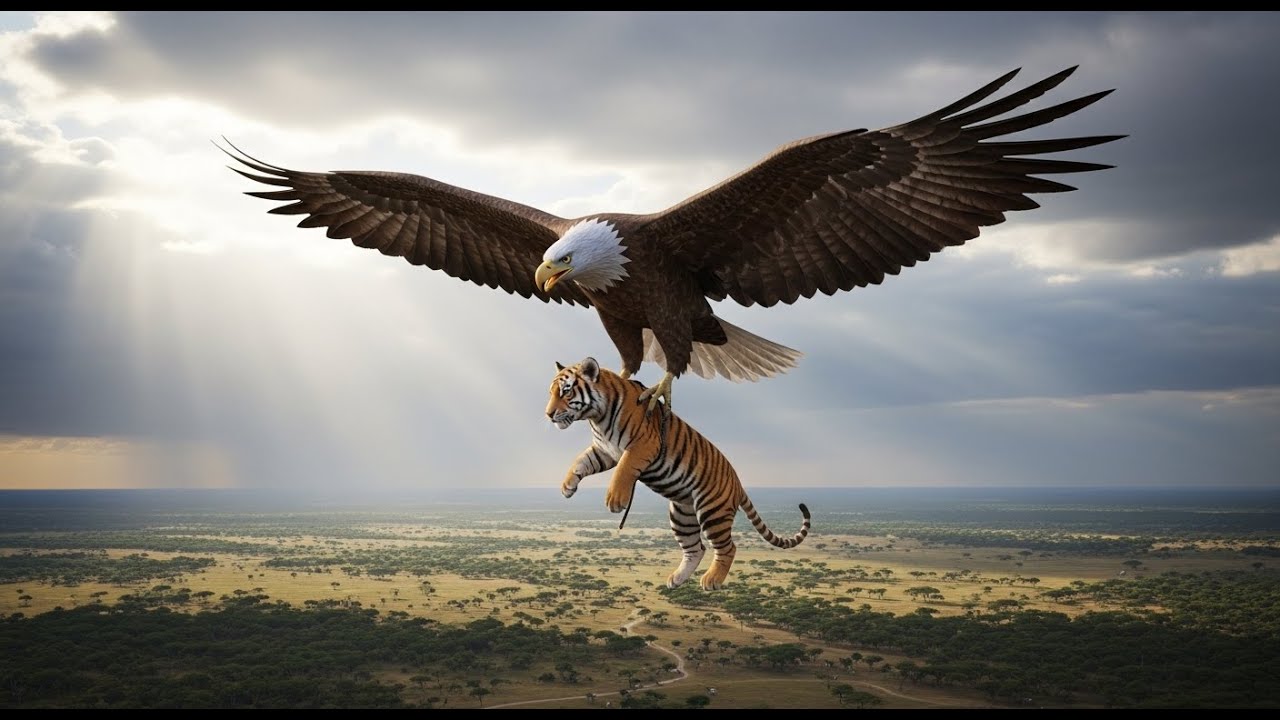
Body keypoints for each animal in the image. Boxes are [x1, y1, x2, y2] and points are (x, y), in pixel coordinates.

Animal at [546, 356, 811, 590]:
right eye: (551, 392)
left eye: (566, 391)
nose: (548, 415)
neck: (596, 418)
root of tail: (738, 482)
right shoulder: (605, 451)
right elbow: (581, 461)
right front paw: (567, 486)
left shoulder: (642, 445)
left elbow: (624, 469)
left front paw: (615, 500)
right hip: (682, 514)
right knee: (696, 548)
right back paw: (676, 579)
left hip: (712, 511)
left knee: (727, 547)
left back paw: (711, 580)